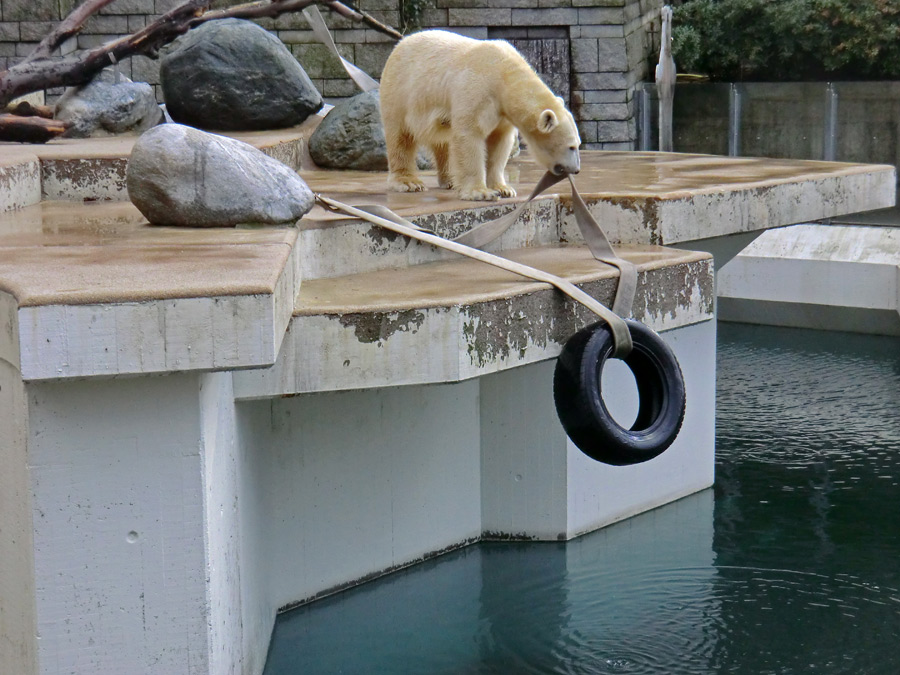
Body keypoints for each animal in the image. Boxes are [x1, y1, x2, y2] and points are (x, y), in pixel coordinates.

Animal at [378, 31, 576, 201]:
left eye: (577, 144)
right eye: (572, 146)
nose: (576, 169)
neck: (504, 71)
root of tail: (400, 43)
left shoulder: (502, 112)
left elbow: (500, 141)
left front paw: (504, 189)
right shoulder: (477, 89)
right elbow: (470, 134)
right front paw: (480, 192)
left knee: (443, 141)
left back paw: (451, 180)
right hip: (400, 92)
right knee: (401, 136)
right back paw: (409, 182)